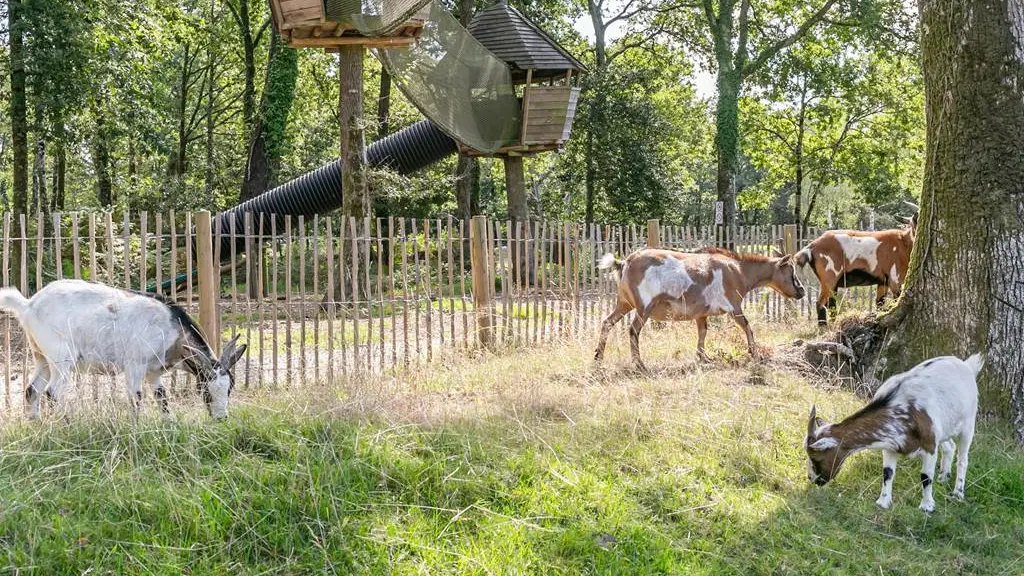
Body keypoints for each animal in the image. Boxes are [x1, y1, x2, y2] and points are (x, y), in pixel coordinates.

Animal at [0, 276, 246, 416]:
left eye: (229, 388)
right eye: (205, 391)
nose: (221, 418)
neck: (170, 328)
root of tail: (28, 305)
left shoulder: (154, 372)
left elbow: (163, 399)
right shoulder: (135, 365)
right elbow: (136, 399)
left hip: (41, 358)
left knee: (32, 391)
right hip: (61, 359)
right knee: (53, 393)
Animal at [593, 247, 806, 366]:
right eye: (791, 270)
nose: (801, 291)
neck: (739, 270)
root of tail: (625, 262)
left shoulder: (701, 313)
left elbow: (703, 331)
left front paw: (703, 357)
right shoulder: (733, 306)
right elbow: (747, 326)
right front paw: (755, 353)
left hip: (624, 303)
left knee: (607, 322)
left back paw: (598, 358)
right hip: (644, 306)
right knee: (633, 330)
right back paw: (639, 364)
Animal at [806, 354, 983, 510]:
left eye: (815, 458)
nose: (812, 479)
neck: (900, 407)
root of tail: (966, 365)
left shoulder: (929, 446)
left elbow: (925, 477)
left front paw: (927, 506)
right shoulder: (891, 444)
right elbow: (887, 473)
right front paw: (883, 502)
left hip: (968, 424)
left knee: (963, 459)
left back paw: (958, 493)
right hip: (945, 428)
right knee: (949, 446)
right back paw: (944, 477)